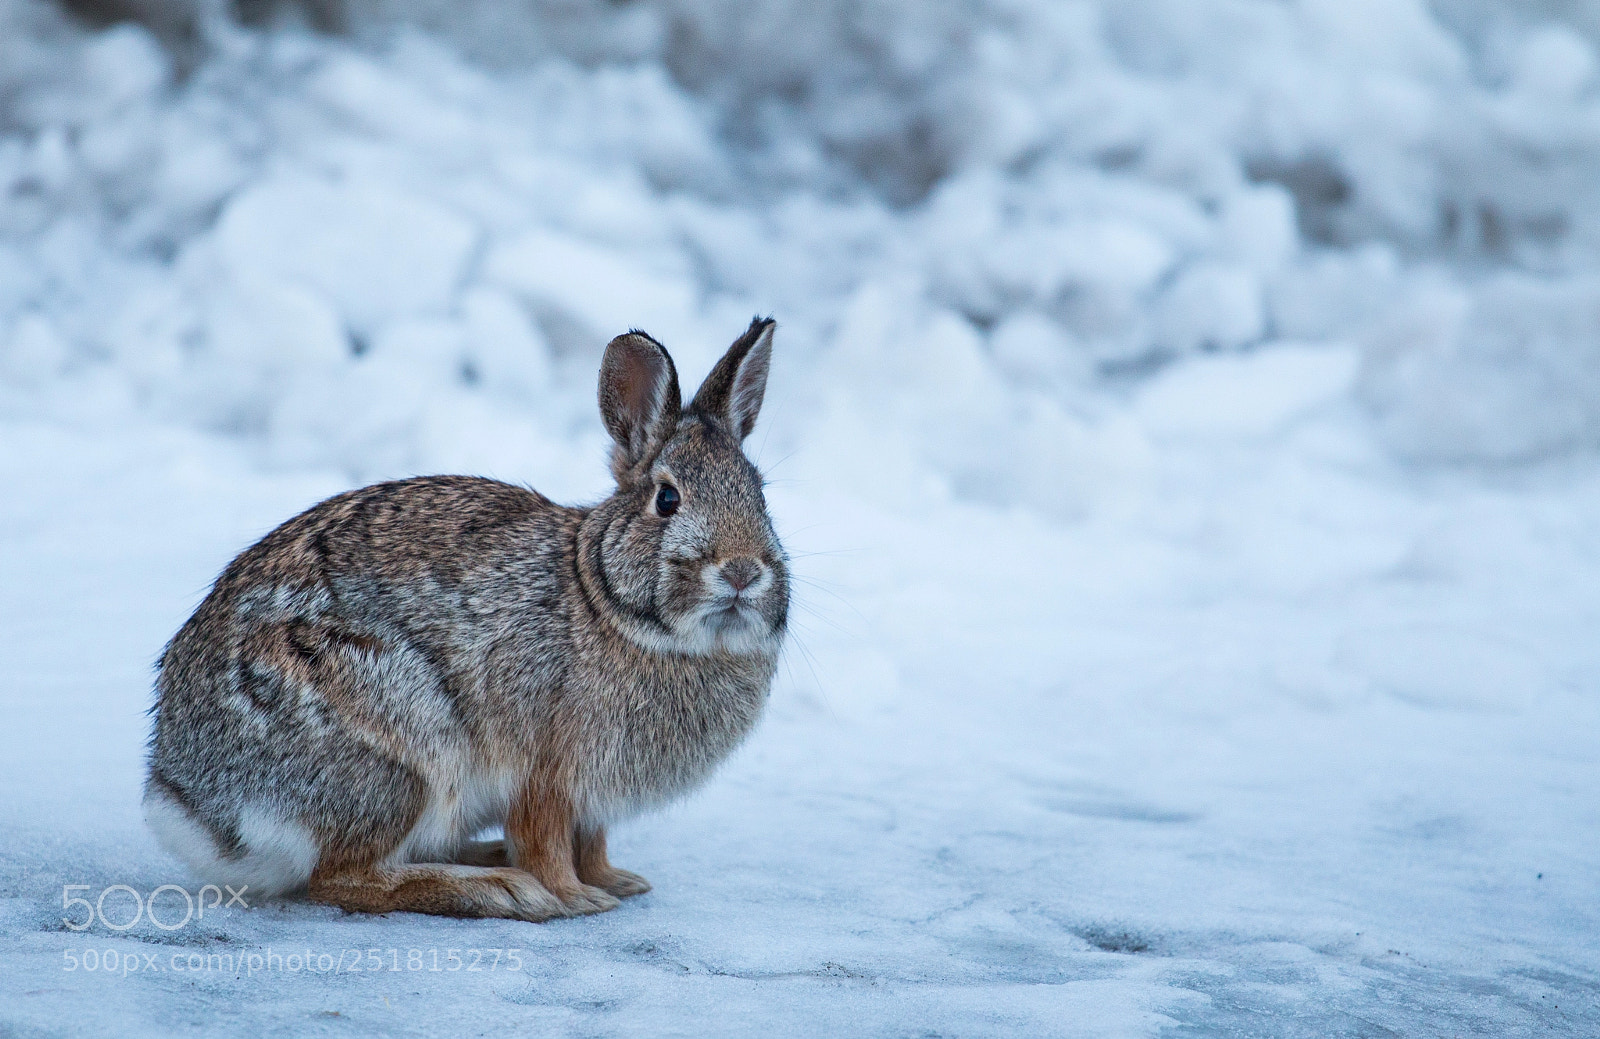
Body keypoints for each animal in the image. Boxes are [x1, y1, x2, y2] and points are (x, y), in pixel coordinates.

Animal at [143, 318, 788, 920]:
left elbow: (592, 844)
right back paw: (496, 888)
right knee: (344, 879)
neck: (607, 602)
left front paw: (616, 882)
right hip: (402, 754)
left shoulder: (589, 800)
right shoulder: (544, 772)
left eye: (760, 495)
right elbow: (545, 843)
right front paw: (576, 899)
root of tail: (193, 805)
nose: (741, 571)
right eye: (667, 500)